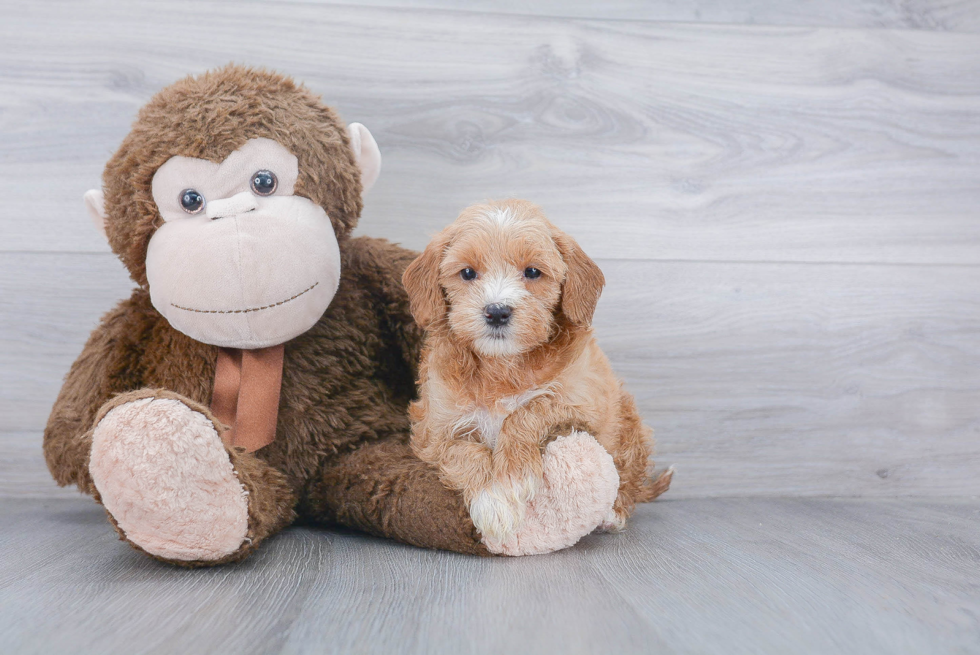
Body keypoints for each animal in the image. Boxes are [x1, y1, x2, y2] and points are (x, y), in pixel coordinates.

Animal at [402, 200, 668, 544]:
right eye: (467, 272)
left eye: (532, 272)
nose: (497, 311)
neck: (502, 365)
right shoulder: (432, 431)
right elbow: (462, 451)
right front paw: (492, 502)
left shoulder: (583, 401)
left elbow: (529, 410)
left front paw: (510, 481)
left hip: (628, 427)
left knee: (629, 475)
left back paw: (614, 513)